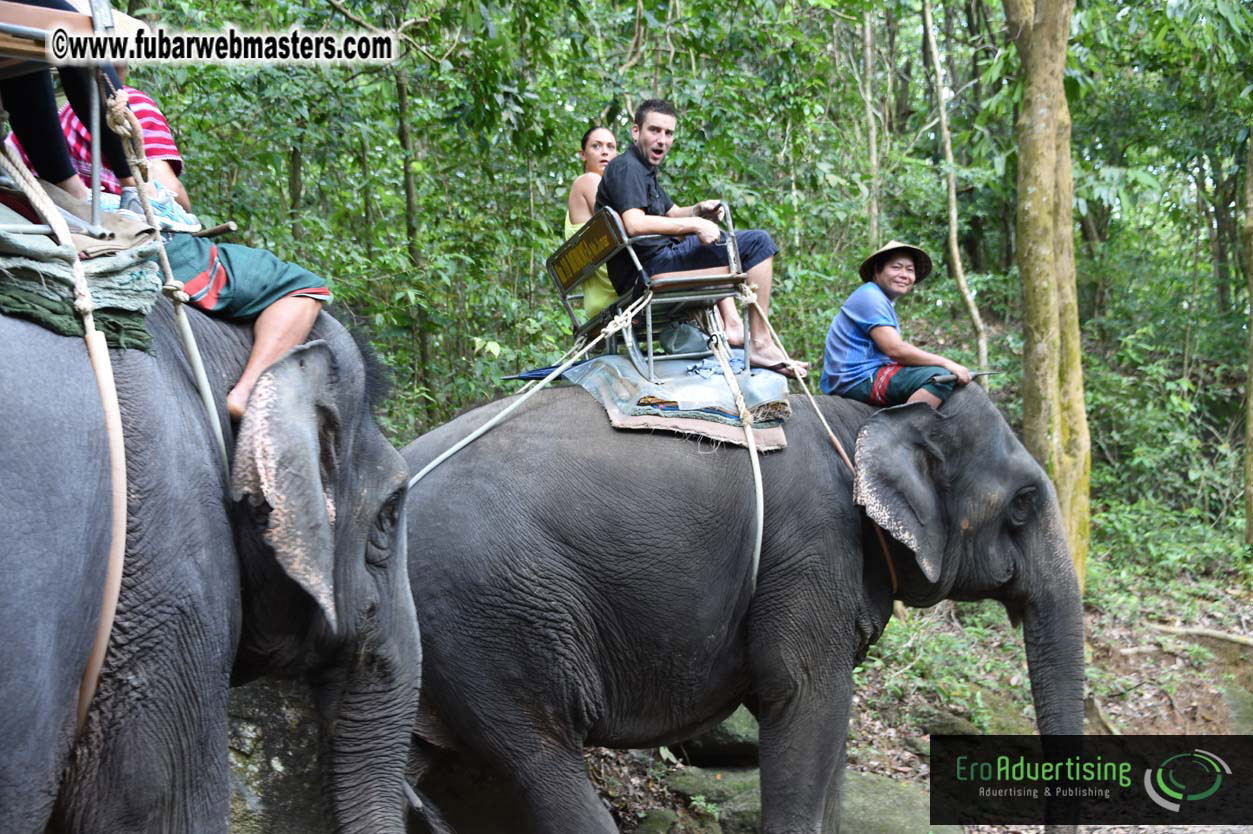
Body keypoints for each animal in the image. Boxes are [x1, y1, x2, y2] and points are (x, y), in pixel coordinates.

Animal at [401, 382, 1085, 833]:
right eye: (1023, 503)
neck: (864, 419)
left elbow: (828, 718)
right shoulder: (810, 545)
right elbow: (804, 697)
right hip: (492, 620)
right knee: (541, 759)